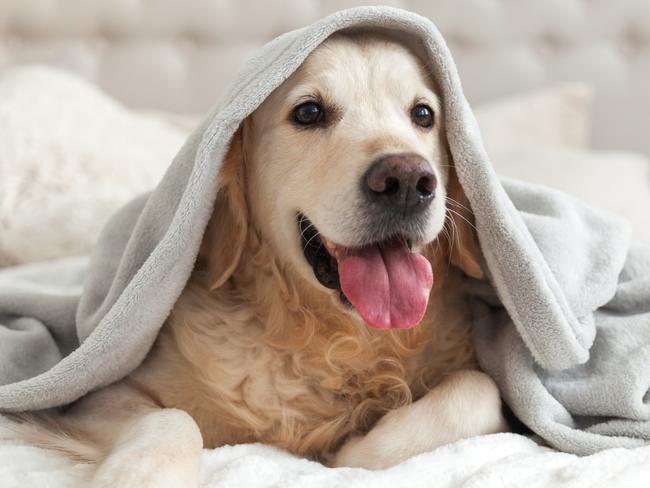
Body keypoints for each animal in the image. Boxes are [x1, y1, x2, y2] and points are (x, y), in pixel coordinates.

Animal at [1, 32, 506, 486]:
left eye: (424, 114)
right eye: (309, 112)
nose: (406, 181)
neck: (334, 341)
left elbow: (480, 390)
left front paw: (356, 449)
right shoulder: (95, 397)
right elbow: (172, 418)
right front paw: (136, 475)